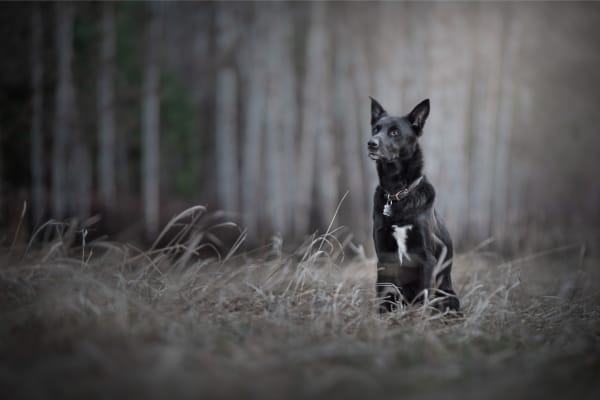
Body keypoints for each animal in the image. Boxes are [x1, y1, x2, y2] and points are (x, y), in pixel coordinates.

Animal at [366, 97, 460, 312]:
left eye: (394, 132)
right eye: (375, 129)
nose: (371, 143)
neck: (397, 193)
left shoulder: (427, 259)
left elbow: (423, 297)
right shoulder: (384, 258)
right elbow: (383, 295)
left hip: (448, 296)